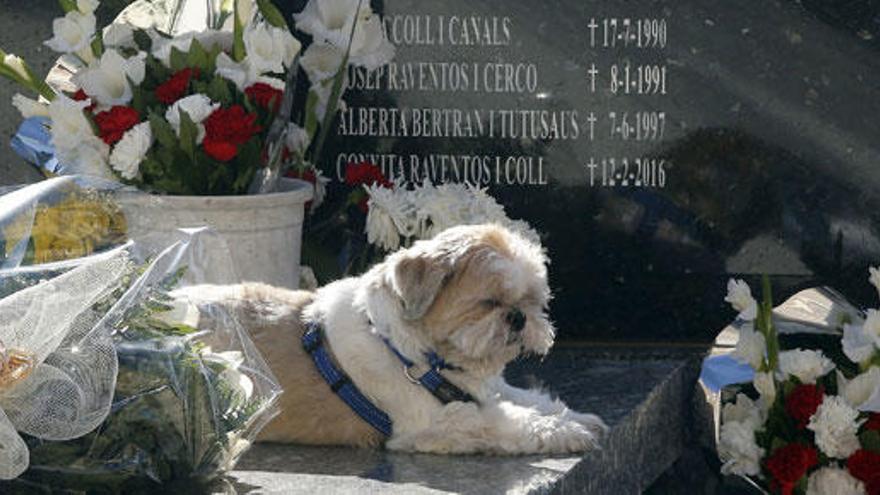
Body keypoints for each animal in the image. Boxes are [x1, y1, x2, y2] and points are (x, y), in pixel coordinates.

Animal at [183, 224, 608, 454]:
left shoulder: (486, 389)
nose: (519, 317)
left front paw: (576, 417)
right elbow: (511, 422)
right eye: (489, 302)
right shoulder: (439, 423)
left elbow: (530, 399)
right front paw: (566, 432)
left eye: (533, 301)